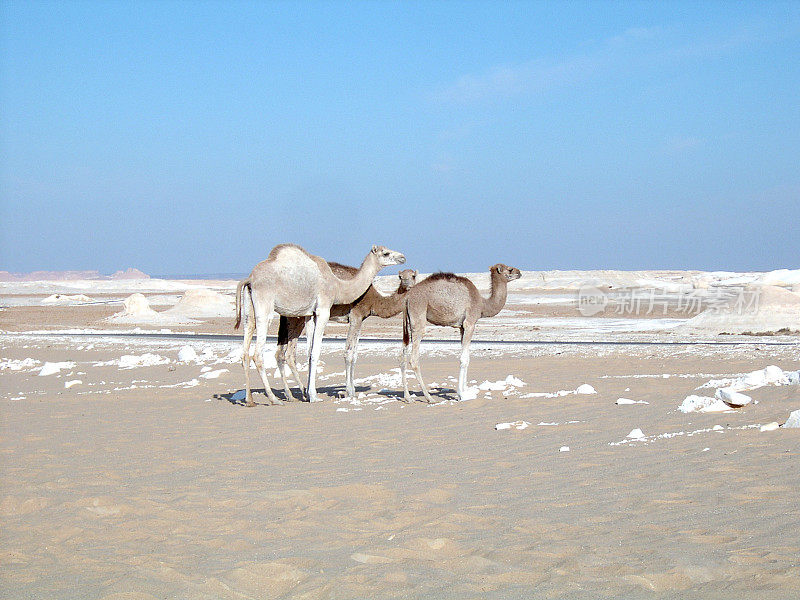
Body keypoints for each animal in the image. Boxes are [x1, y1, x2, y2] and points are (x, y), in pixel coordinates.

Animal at [274, 266, 418, 398]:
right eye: (400, 277)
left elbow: (354, 355)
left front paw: (352, 389)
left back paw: (296, 393)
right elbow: (348, 353)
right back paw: (300, 393)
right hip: (296, 315)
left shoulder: (361, 319)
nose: (407, 284)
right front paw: (349, 392)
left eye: (413, 276)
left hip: (293, 317)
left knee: (284, 354)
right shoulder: (356, 315)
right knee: (288, 354)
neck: (374, 300)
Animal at [400, 264, 524, 400]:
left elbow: (467, 358)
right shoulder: (470, 323)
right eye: (510, 269)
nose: (519, 272)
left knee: (403, 355)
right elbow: (463, 359)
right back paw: (429, 398)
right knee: (414, 358)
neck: (482, 304)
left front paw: (467, 391)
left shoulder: (461, 327)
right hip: (418, 314)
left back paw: (408, 397)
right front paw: (462, 395)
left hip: (408, 322)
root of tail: (407, 298)